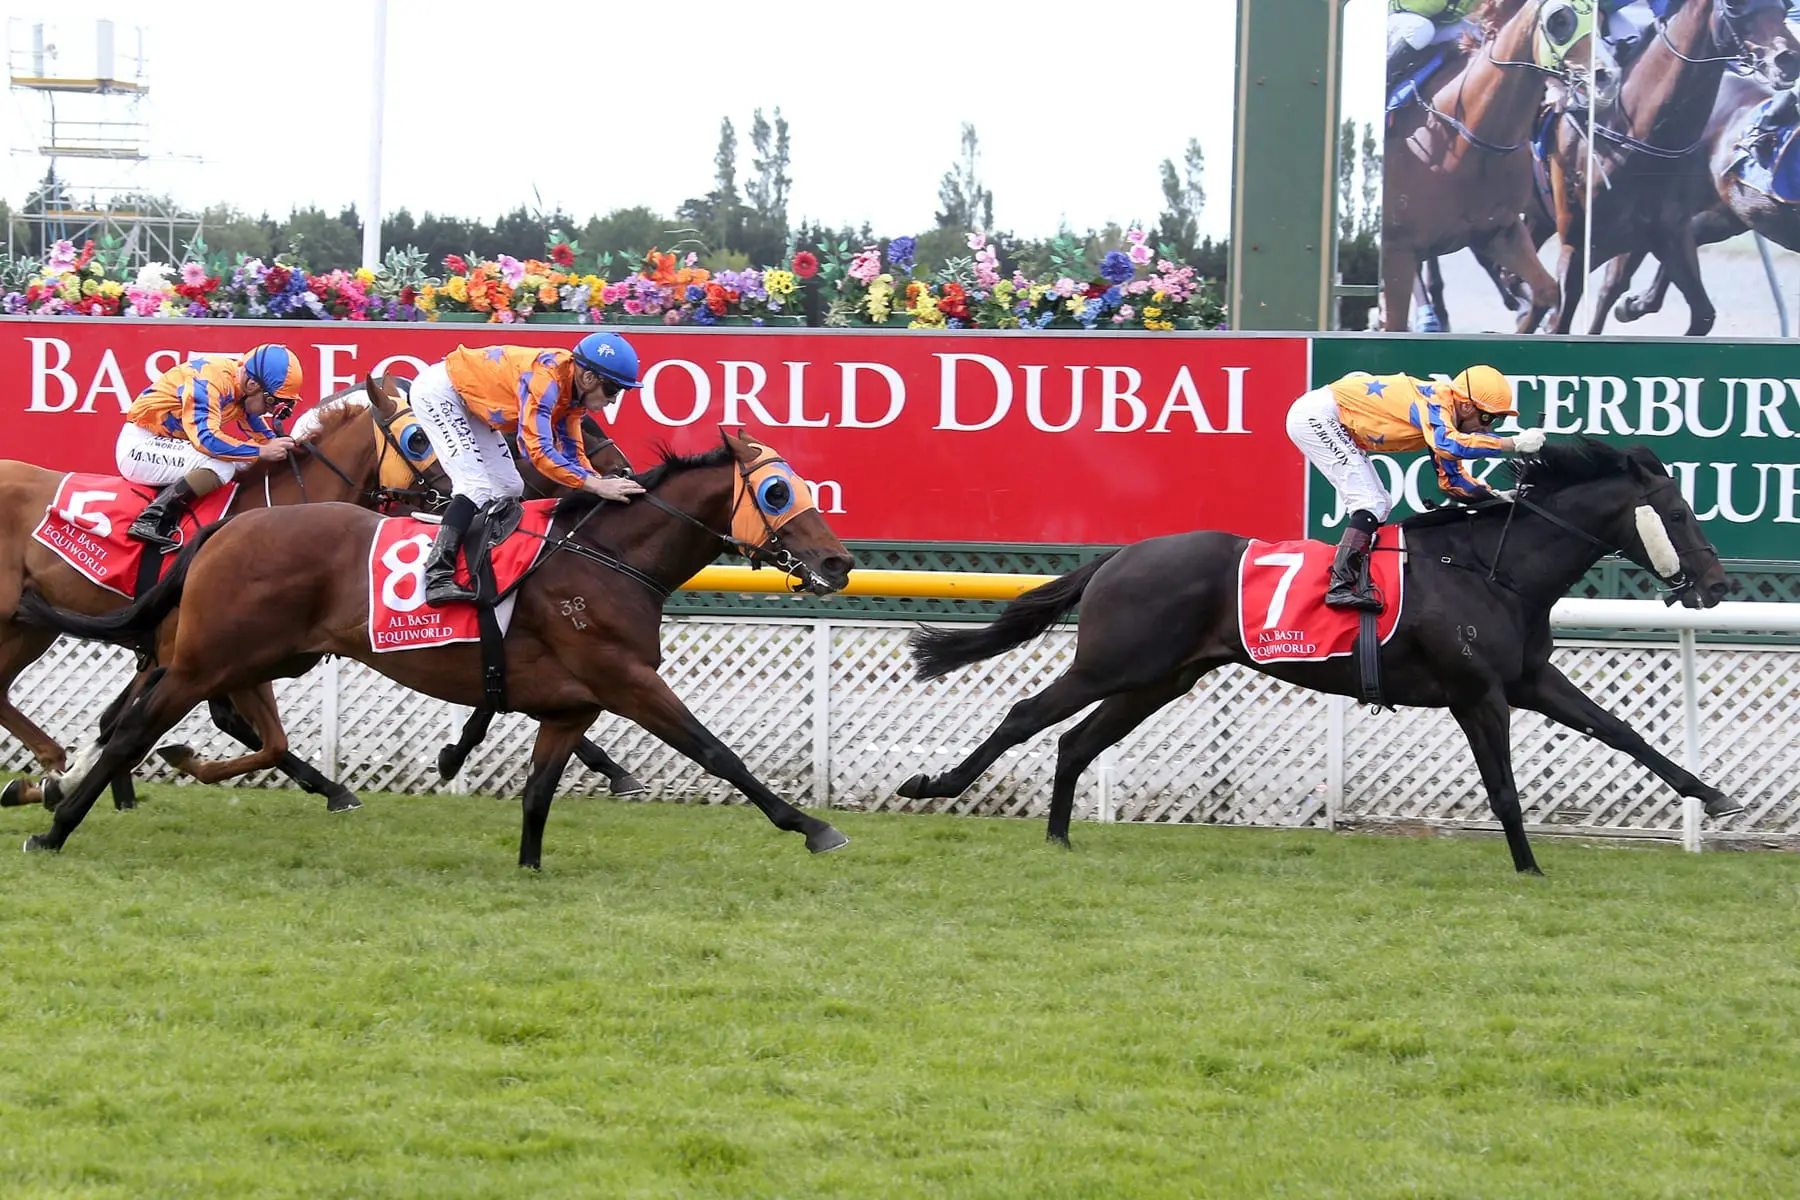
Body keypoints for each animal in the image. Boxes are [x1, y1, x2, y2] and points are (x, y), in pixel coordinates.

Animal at [0, 379, 446, 820]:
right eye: (419, 438)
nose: (450, 494)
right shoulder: (190, 649)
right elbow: (208, 721)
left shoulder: (187, 652)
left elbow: (121, 719)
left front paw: (68, 785)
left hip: (29, 627)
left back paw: (50, 767)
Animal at [14, 429, 856, 863]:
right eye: (778, 492)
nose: (839, 563)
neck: (606, 559)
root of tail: (226, 528)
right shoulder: (626, 681)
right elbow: (718, 753)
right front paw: (813, 827)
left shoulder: (571, 706)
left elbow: (539, 791)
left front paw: (528, 865)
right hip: (202, 657)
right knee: (130, 729)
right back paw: (54, 823)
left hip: (259, 656)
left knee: (187, 727)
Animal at [900, 440, 1742, 874]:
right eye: (1676, 513)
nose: (1718, 584)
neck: (1489, 567)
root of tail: (1119, 556)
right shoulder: (1477, 692)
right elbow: (1503, 788)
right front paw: (1529, 867)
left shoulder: (1529, 679)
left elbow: (1621, 731)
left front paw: (1712, 794)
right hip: (1113, 665)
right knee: (1024, 715)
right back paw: (933, 783)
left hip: (1158, 679)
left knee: (1074, 742)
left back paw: (1059, 837)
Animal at [1375, 0, 1605, 329]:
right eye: (1560, 20)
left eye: (1599, 20)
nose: (1604, 77)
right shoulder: (1398, 249)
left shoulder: (1501, 231)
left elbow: (1547, 291)